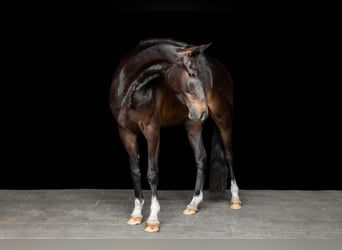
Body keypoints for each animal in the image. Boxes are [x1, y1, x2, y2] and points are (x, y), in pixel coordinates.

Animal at [109, 38, 240, 232]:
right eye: (192, 73)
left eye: (201, 75)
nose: (204, 111)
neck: (128, 90)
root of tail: (221, 67)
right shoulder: (126, 132)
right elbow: (135, 171)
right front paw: (136, 213)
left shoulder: (152, 131)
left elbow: (152, 173)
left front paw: (153, 219)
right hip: (193, 124)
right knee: (201, 158)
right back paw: (194, 203)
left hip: (223, 119)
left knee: (229, 155)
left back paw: (235, 199)